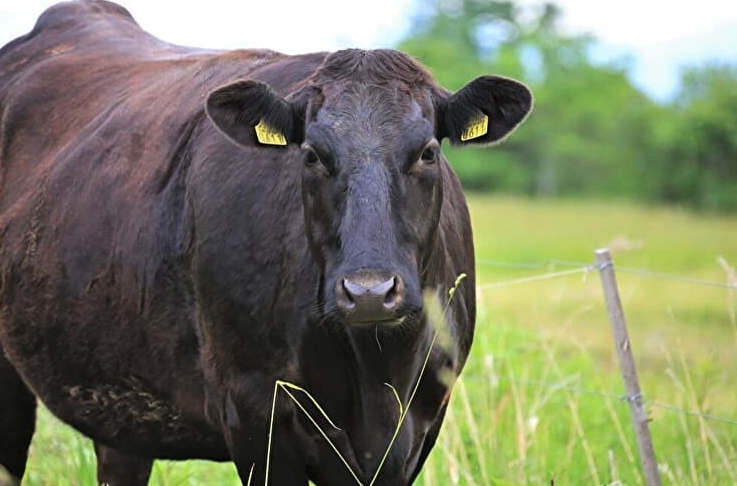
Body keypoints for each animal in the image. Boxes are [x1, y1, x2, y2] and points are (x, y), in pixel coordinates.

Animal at [0, 1, 528, 484]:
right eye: (311, 155)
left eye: (427, 152)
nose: (369, 292)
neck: (378, 374)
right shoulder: (255, 412)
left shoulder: (421, 425)